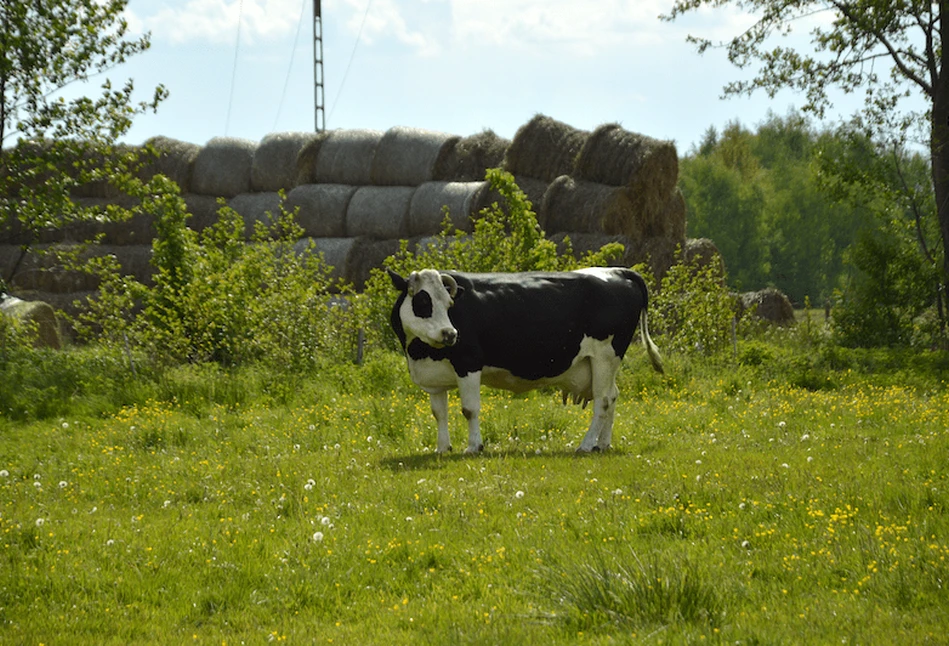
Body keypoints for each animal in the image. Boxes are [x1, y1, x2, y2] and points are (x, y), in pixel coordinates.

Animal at [388, 268, 664, 456]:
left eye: (448, 303)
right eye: (423, 301)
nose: (450, 334)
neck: (420, 353)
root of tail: (617, 271)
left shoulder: (469, 363)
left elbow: (469, 409)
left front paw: (474, 446)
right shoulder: (435, 378)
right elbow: (439, 413)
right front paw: (442, 448)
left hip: (605, 355)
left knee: (603, 400)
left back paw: (586, 445)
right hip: (604, 364)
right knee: (612, 396)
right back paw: (603, 444)